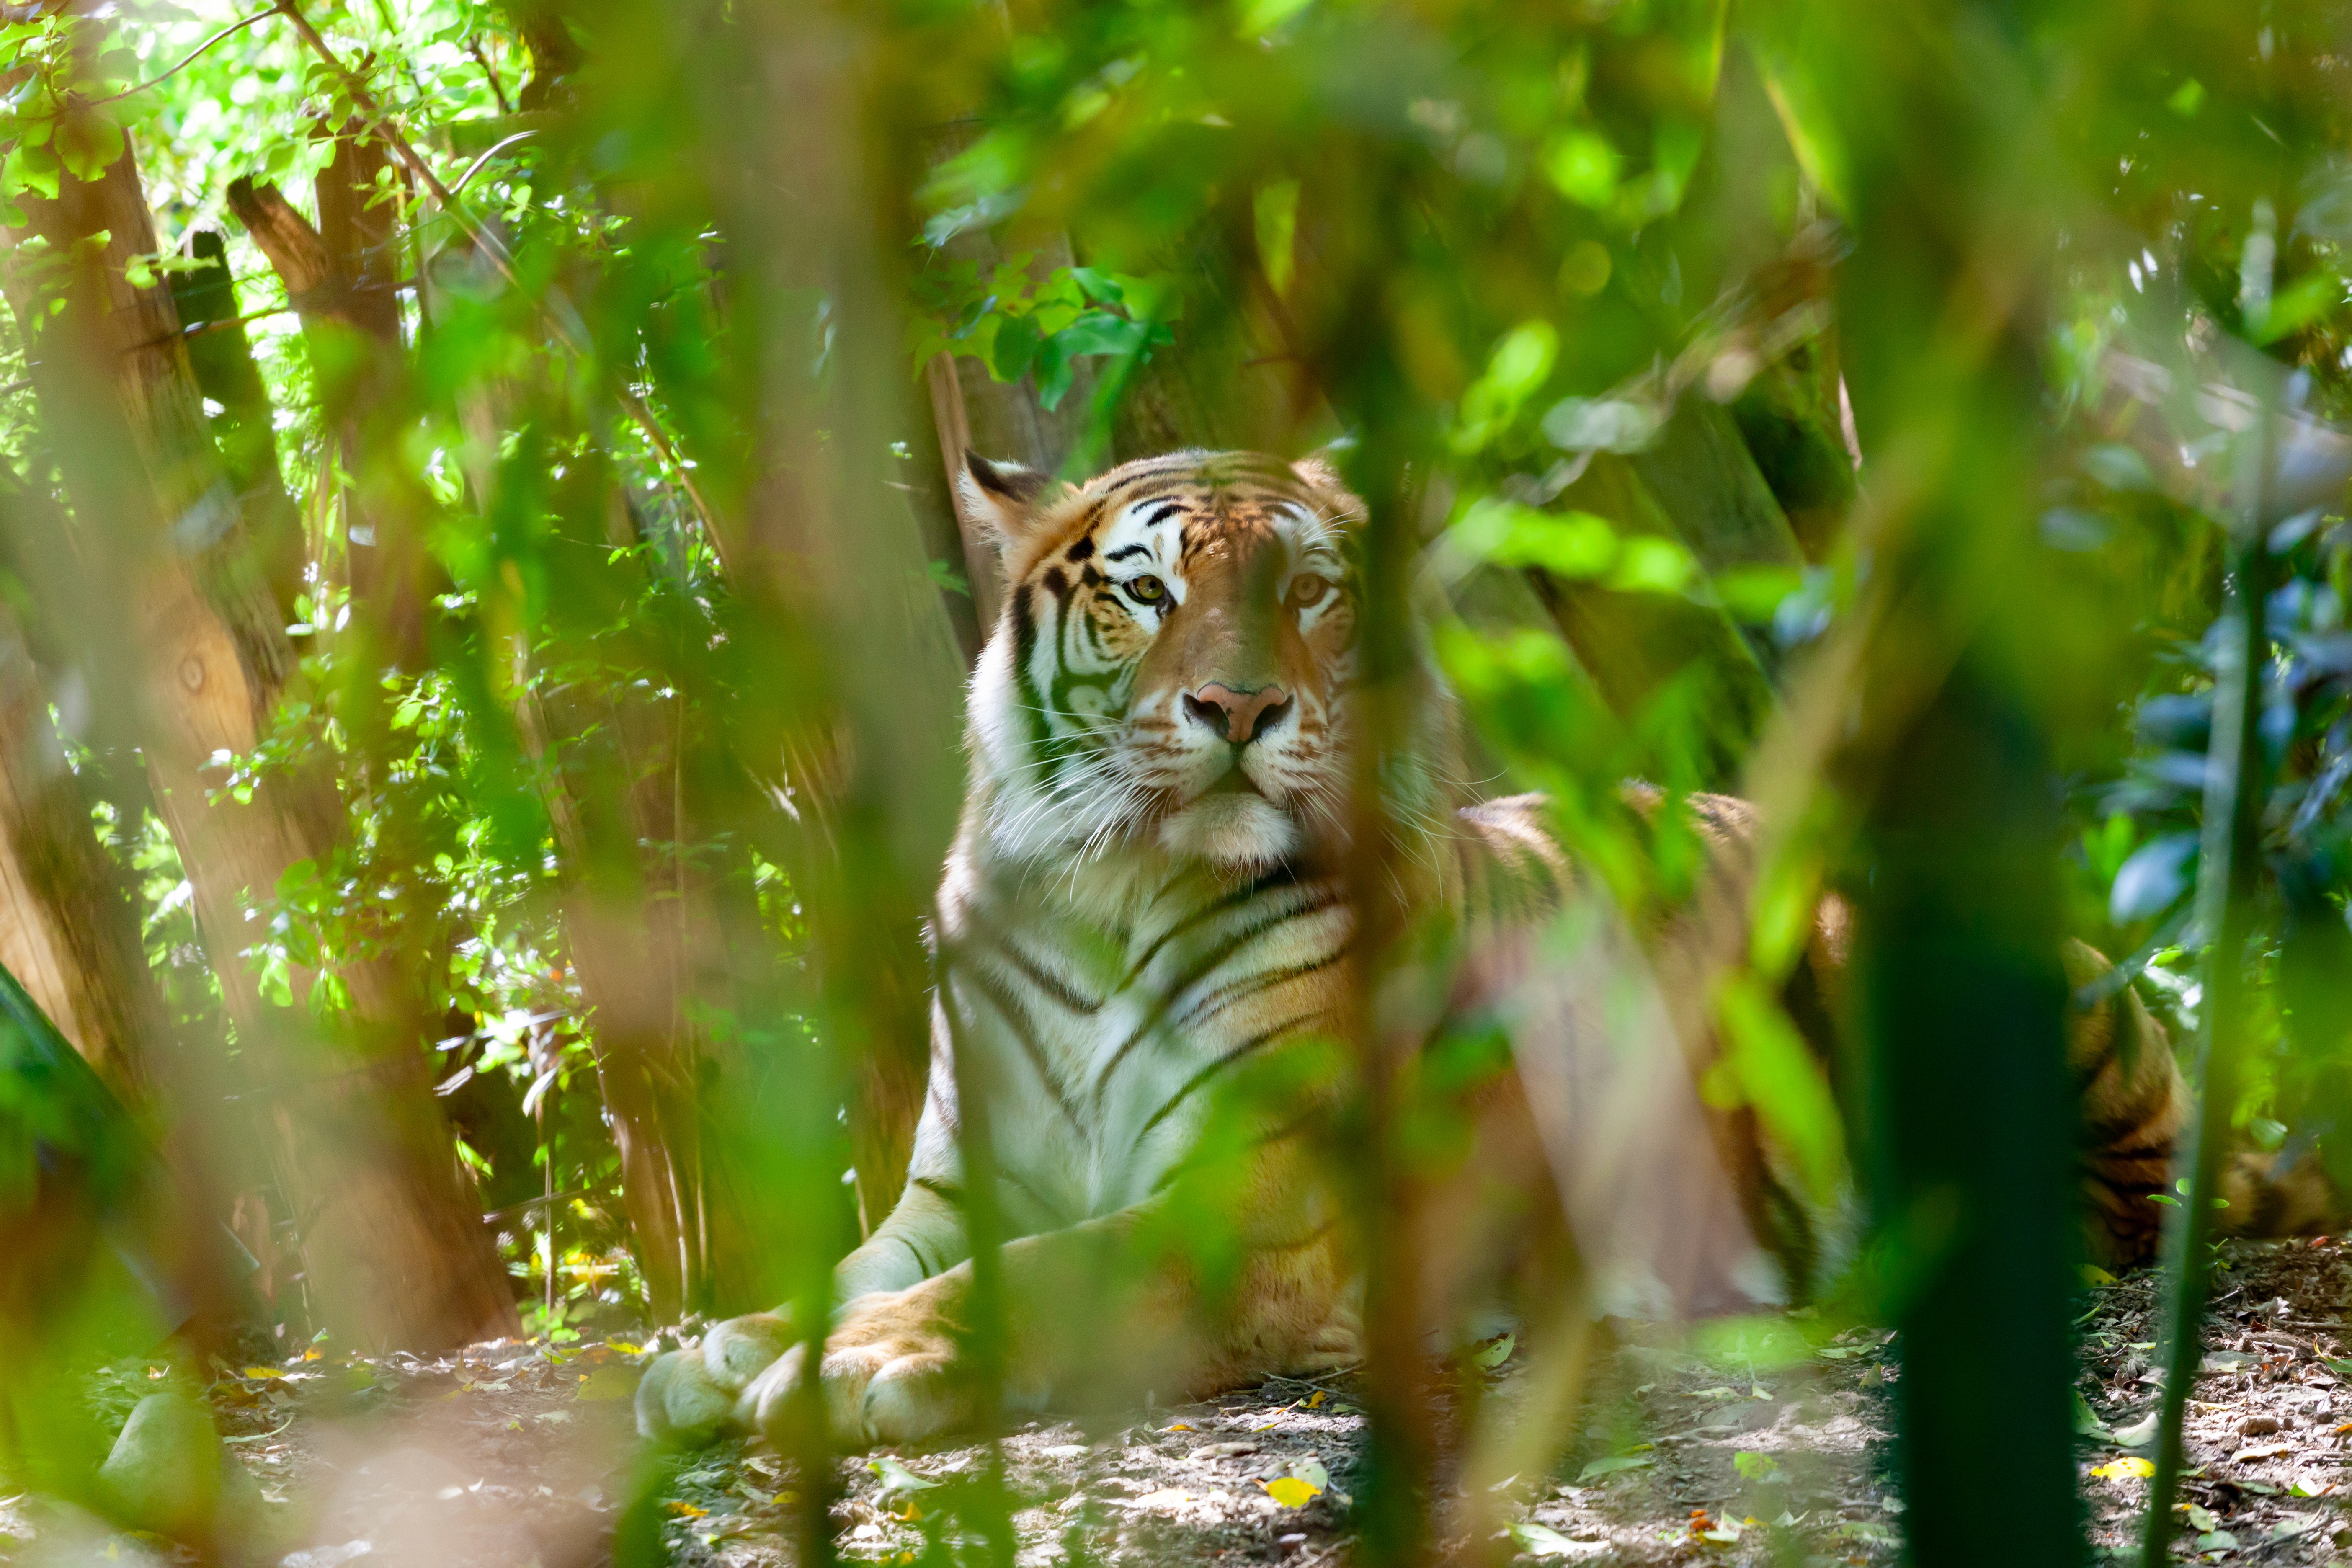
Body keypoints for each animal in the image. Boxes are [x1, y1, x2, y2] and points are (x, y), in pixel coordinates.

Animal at [636, 447, 2332, 1451]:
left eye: (1309, 593)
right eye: (1147, 592)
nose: (1239, 708)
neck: (1108, 892)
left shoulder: (1268, 1193)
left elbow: (1058, 1269)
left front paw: (851, 1367)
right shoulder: (951, 1188)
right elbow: (840, 1269)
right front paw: (717, 1351)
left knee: (2113, 1207)